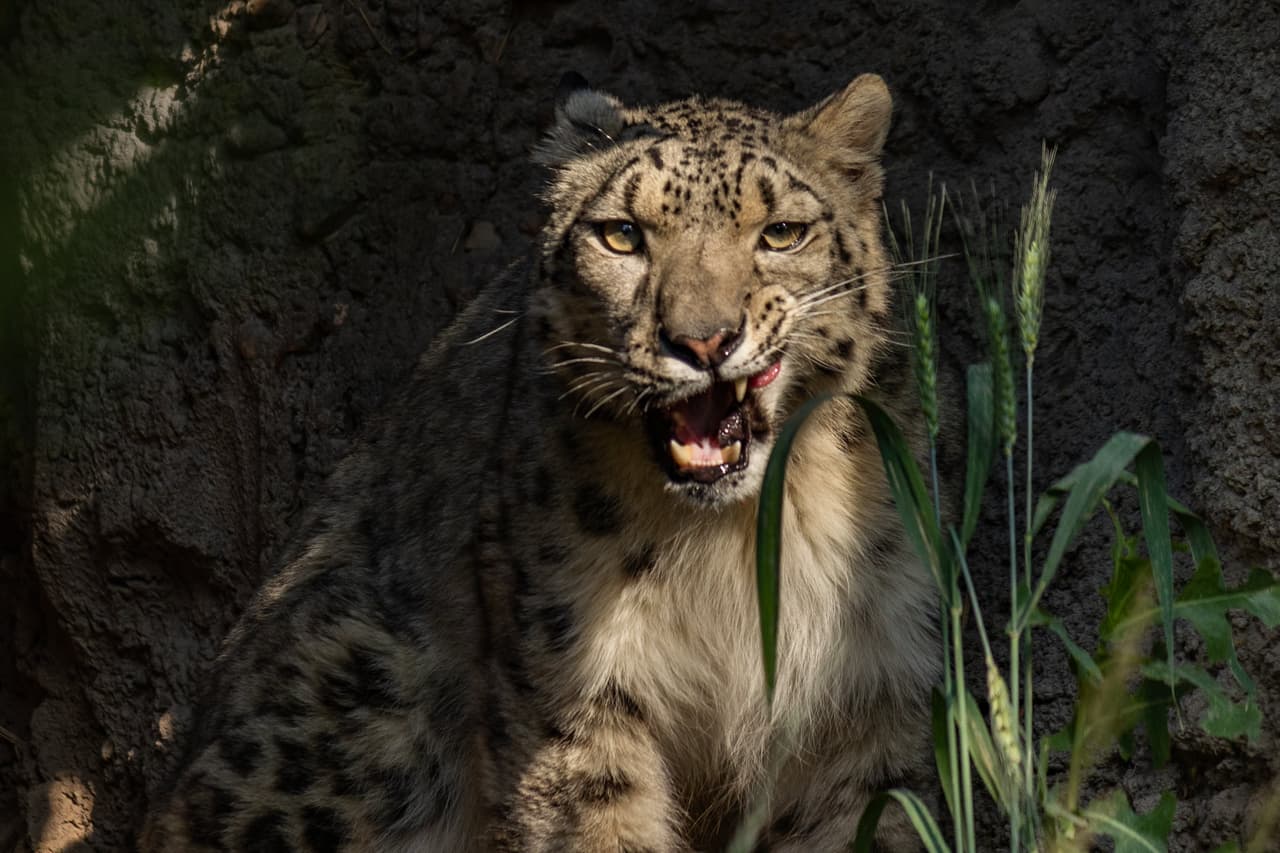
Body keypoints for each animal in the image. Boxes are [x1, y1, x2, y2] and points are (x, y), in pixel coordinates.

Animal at [141, 72, 939, 852]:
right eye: (622, 235)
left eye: (781, 233)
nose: (703, 340)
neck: (729, 544)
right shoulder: (575, 684)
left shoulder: (869, 690)